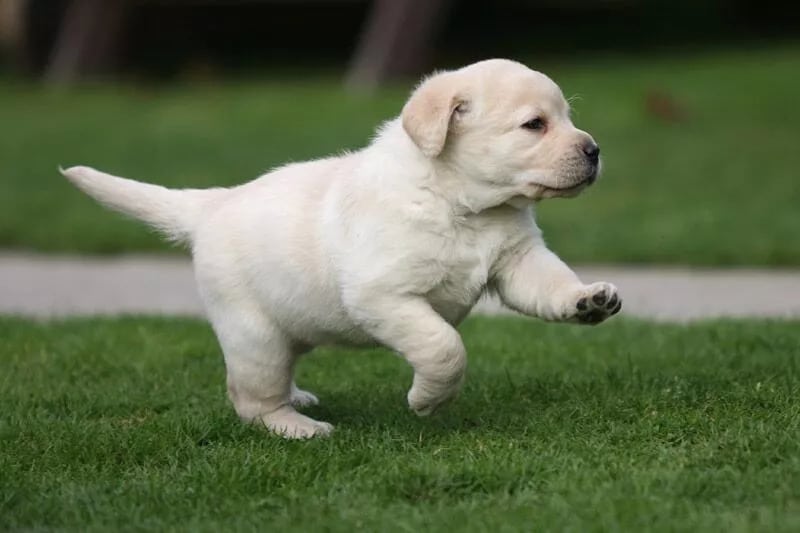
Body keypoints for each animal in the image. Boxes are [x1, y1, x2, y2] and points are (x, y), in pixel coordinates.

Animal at [65, 60, 620, 438]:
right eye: (535, 125)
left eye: (566, 117)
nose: (595, 150)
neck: (461, 203)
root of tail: (213, 204)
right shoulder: (383, 295)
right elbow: (444, 346)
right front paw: (428, 401)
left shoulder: (519, 259)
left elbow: (551, 284)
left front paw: (588, 299)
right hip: (253, 334)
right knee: (250, 398)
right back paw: (296, 426)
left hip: (288, 326)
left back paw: (298, 399)